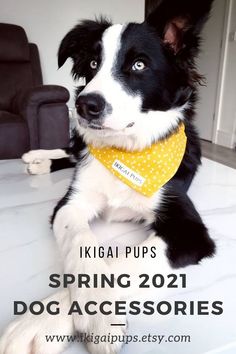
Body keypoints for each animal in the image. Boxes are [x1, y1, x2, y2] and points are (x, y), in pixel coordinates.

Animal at [1, 0, 216, 354]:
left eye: (139, 65)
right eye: (91, 63)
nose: (84, 105)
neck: (126, 152)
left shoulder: (189, 232)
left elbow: (126, 261)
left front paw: (43, 323)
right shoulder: (71, 203)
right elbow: (81, 242)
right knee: (74, 149)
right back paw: (37, 158)